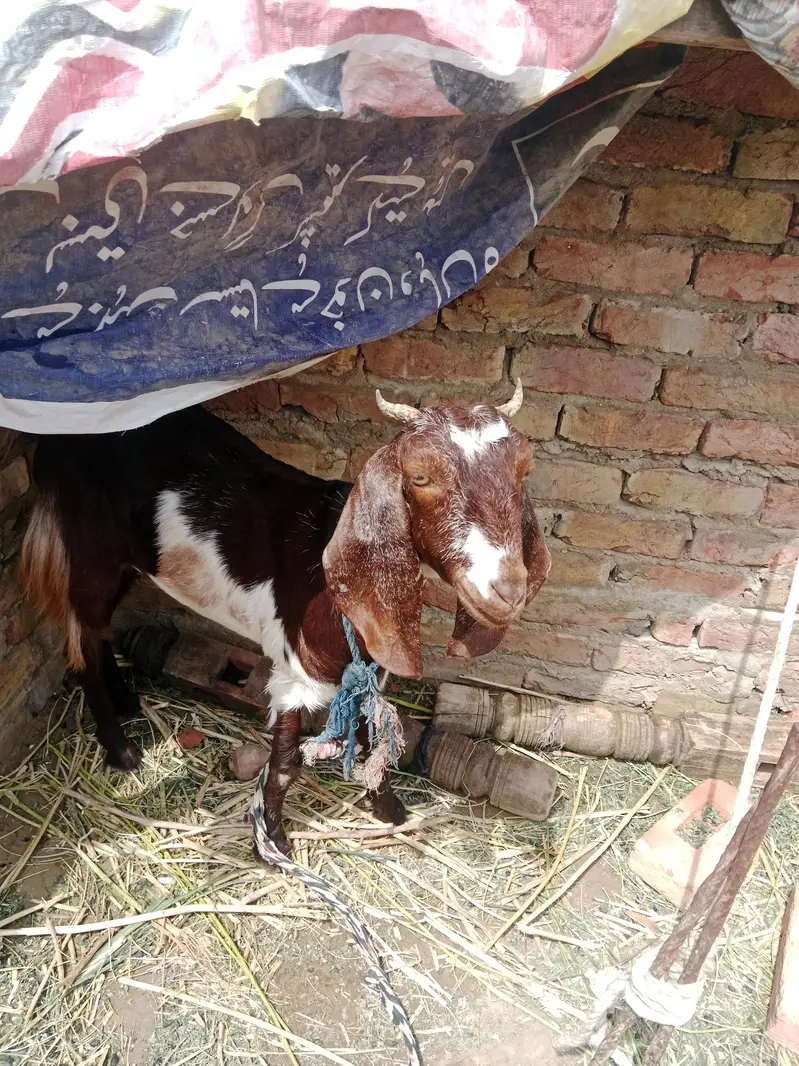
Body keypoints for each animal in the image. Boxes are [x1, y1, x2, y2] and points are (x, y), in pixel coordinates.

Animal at [21, 382, 550, 852]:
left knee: (97, 629)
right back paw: (120, 749)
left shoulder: (367, 668)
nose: (508, 590)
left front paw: (388, 809)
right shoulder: (295, 673)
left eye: (524, 472)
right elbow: (285, 764)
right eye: (420, 477)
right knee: (81, 638)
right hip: (90, 551)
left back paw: (128, 700)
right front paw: (272, 842)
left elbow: (369, 737)